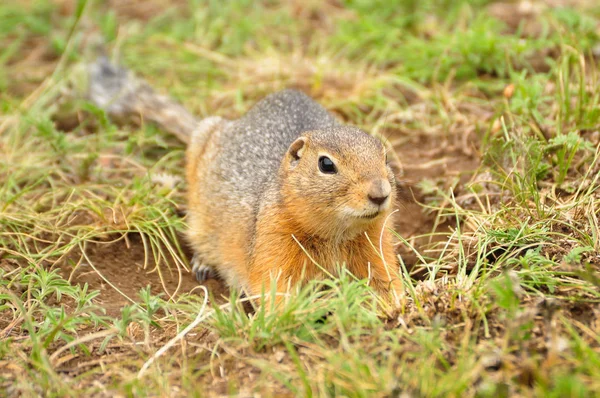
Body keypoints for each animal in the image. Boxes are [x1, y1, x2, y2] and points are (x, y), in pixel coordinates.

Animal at [88, 57, 404, 304]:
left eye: (385, 156)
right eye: (326, 164)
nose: (380, 194)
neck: (336, 233)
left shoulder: (377, 242)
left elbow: (385, 277)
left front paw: (397, 310)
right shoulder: (273, 243)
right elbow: (274, 288)